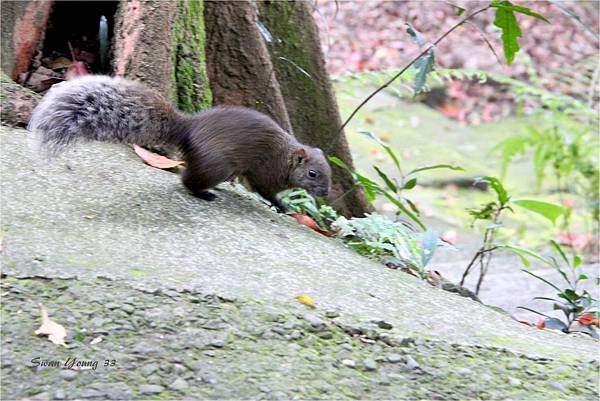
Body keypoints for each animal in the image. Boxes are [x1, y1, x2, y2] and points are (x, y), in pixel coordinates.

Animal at [28, 76, 330, 211]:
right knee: (187, 180)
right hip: (217, 165)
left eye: (330, 172)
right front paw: (282, 206)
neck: (286, 155)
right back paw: (205, 193)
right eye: (313, 173)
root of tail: (189, 129)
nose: (326, 193)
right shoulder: (266, 171)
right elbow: (264, 190)